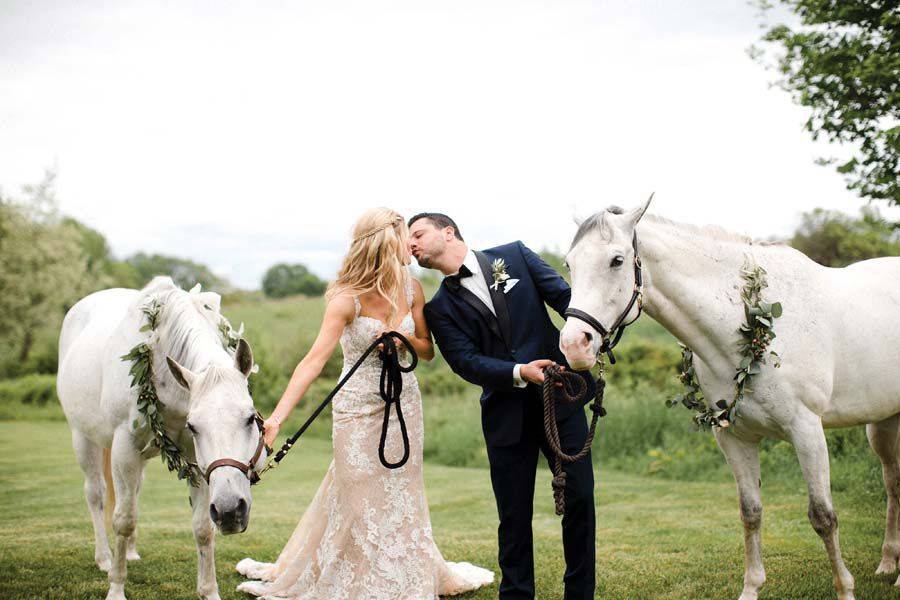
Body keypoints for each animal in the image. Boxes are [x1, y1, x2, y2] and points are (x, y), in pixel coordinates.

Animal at [56, 276, 266, 600]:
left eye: (250, 418)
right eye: (195, 426)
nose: (231, 511)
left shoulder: (196, 462)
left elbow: (203, 528)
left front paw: (209, 591)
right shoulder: (125, 449)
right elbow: (123, 520)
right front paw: (116, 589)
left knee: (134, 494)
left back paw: (129, 553)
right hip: (84, 440)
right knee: (97, 495)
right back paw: (104, 558)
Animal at [560, 198, 900, 600]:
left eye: (616, 260)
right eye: (569, 264)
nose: (574, 345)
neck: (750, 326)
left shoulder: (807, 431)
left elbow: (823, 516)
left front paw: (845, 589)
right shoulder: (733, 436)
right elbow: (750, 512)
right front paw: (751, 587)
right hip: (883, 423)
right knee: (893, 483)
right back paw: (889, 564)